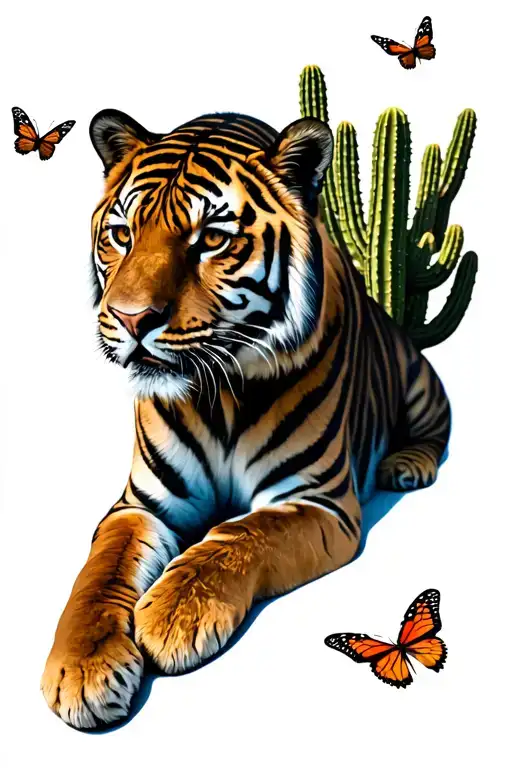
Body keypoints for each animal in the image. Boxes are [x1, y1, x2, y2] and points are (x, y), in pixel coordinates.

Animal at [41, 109, 451, 729]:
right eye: (122, 234)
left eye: (211, 239)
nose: (131, 319)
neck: (219, 396)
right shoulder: (142, 504)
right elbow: (99, 575)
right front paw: (81, 669)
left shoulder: (317, 500)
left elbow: (239, 536)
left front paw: (173, 616)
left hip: (417, 378)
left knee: (438, 425)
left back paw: (407, 465)